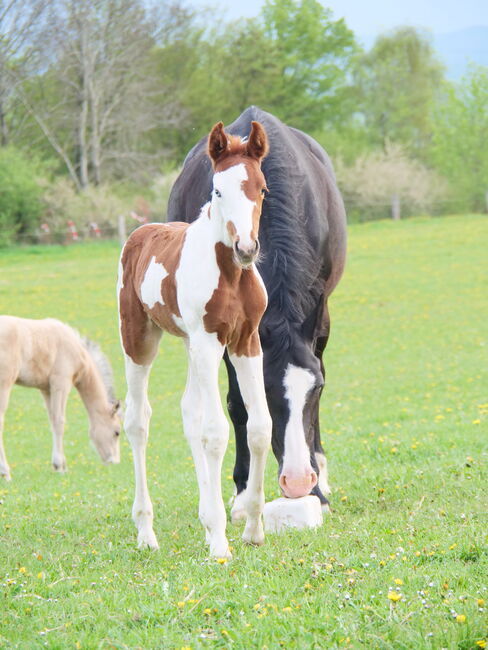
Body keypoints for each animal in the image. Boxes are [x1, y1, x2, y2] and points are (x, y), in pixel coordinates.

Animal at [0, 316, 121, 478]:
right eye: (117, 432)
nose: (115, 462)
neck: (76, 349)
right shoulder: (61, 383)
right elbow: (59, 421)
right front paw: (59, 466)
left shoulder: (46, 389)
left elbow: (52, 420)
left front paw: (62, 465)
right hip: (5, 384)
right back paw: (5, 472)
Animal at [117, 119, 272, 556]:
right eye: (218, 190)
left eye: (262, 188)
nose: (246, 247)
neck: (231, 274)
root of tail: (141, 232)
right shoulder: (208, 342)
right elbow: (216, 433)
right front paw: (220, 541)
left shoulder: (245, 341)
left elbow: (259, 426)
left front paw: (252, 527)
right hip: (139, 340)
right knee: (138, 420)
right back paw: (146, 532)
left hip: (190, 344)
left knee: (190, 411)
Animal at [168, 105, 346, 516]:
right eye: (264, 389)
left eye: (316, 390)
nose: (299, 483)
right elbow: (239, 405)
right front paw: (242, 489)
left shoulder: (318, 320)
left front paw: (319, 488)